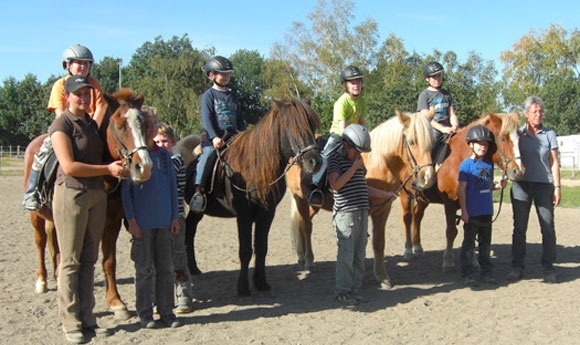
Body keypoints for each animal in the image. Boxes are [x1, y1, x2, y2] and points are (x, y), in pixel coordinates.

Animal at [24, 87, 153, 318]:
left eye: (145, 125)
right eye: (120, 125)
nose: (144, 167)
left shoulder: (112, 223)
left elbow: (108, 261)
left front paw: (116, 302)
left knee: (54, 241)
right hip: (35, 215)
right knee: (40, 241)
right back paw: (42, 281)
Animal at [177, 97, 322, 296]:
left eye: (312, 125)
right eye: (292, 127)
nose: (315, 162)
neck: (254, 168)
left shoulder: (267, 214)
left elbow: (261, 248)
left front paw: (261, 283)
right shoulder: (243, 215)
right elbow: (245, 250)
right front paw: (243, 288)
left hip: (198, 211)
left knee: (191, 229)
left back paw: (193, 268)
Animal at [286, 109, 436, 288]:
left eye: (432, 141)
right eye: (412, 141)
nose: (428, 179)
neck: (378, 164)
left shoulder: (382, 210)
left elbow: (378, 242)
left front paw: (382, 277)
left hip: (313, 204)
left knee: (303, 224)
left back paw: (302, 257)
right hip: (300, 199)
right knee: (306, 226)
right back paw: (308, 260)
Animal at [404, 111, 524, 270]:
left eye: (520, 139)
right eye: (503, 138)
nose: (519, 172)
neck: (459, 159)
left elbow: (472, 232)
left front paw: (473, 261)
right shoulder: (450, 204)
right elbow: (451, 231)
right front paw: (448, 261)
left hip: (424, 198)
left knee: (417, 216)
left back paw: (417, 248)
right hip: (404, 195)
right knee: (407, 219)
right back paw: (408, 250)